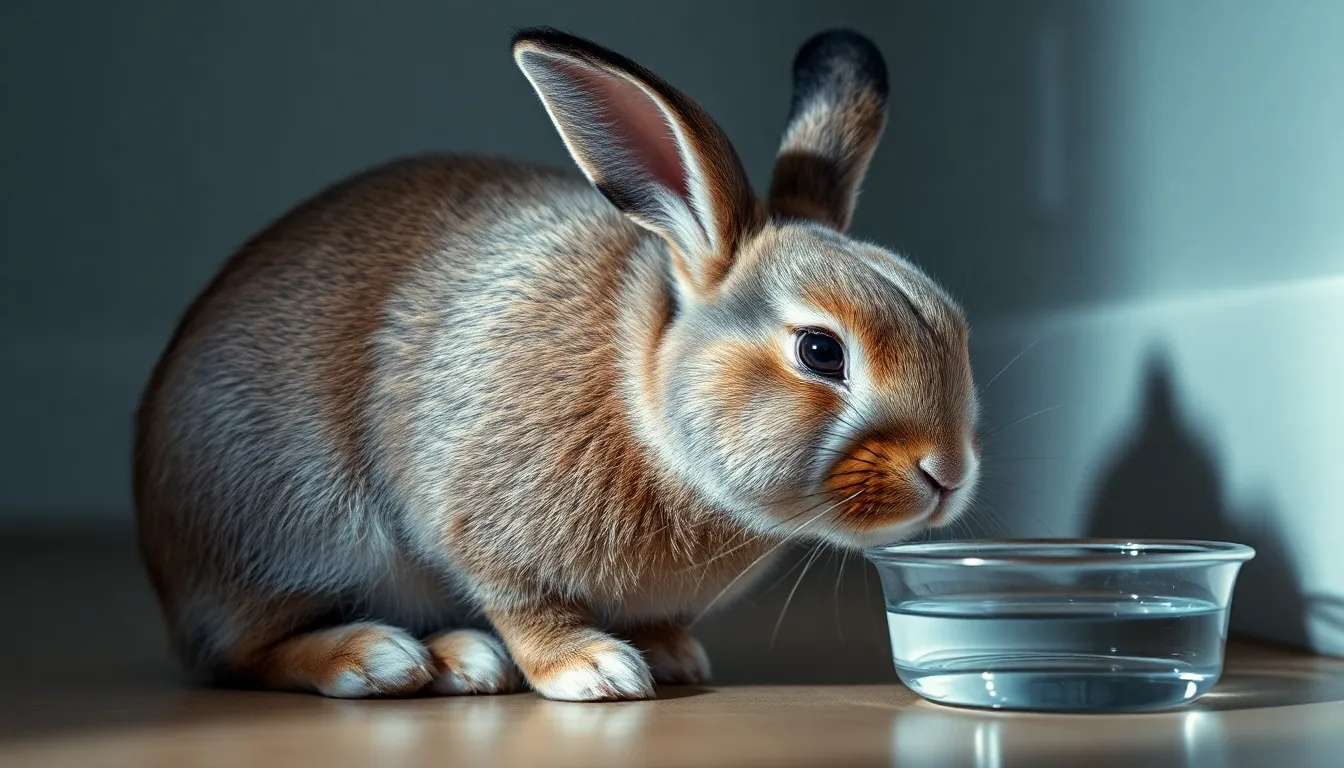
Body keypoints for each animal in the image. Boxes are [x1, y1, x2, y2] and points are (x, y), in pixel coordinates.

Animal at [133, 26, 981, 702]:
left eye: (954, 324)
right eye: (820, 351)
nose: (948, 473)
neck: (648, 410)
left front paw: (671, 656)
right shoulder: (481, 529)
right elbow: (525, 606)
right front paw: (597, 670)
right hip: (298, 532)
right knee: (243, 651)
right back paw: (386, 658)